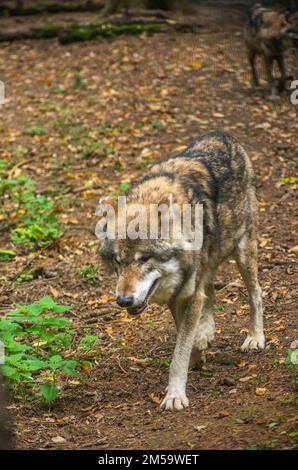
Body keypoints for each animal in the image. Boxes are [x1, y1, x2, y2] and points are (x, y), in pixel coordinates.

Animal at [98, 130, 266, 410]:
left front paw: (175, 395)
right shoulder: (178, 295)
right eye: (118, 262)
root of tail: (222, 134)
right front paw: (198, 352)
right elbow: (184, 338)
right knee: (211, 291)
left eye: (144, 259)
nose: (124, 301)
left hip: (243, 253)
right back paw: (206, 332)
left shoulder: (187, 293)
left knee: (255, 293)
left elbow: (179, 352)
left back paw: (255, 337)